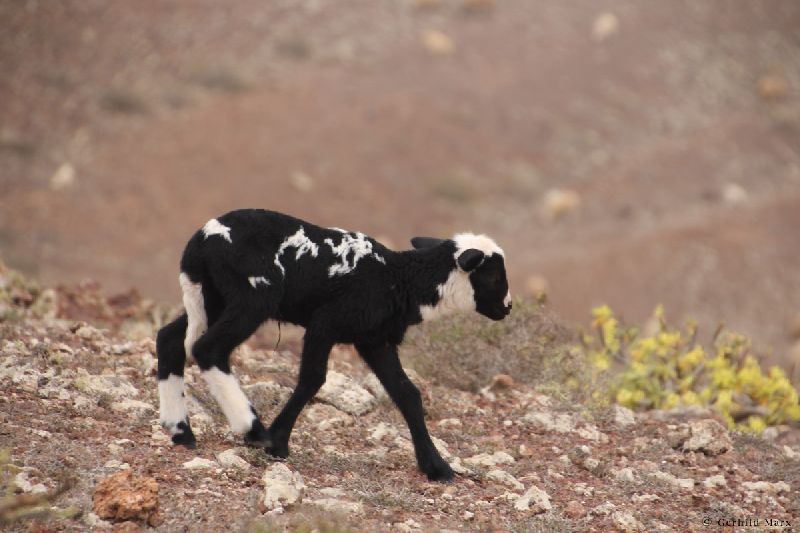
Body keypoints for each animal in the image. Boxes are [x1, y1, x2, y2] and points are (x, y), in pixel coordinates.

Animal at [157, 209, 511, 481]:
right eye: (493, 277)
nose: (507, 308)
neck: (398, 279)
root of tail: (202, 239)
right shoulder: (325, 324)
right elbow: (313, 379)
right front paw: (277, 443)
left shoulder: (374, 340)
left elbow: (407, 394)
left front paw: (437, 468)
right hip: (252, 297)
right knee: (208, 349)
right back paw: (252, 429)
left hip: (210, 297)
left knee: (170, 339)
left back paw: (181, 431)